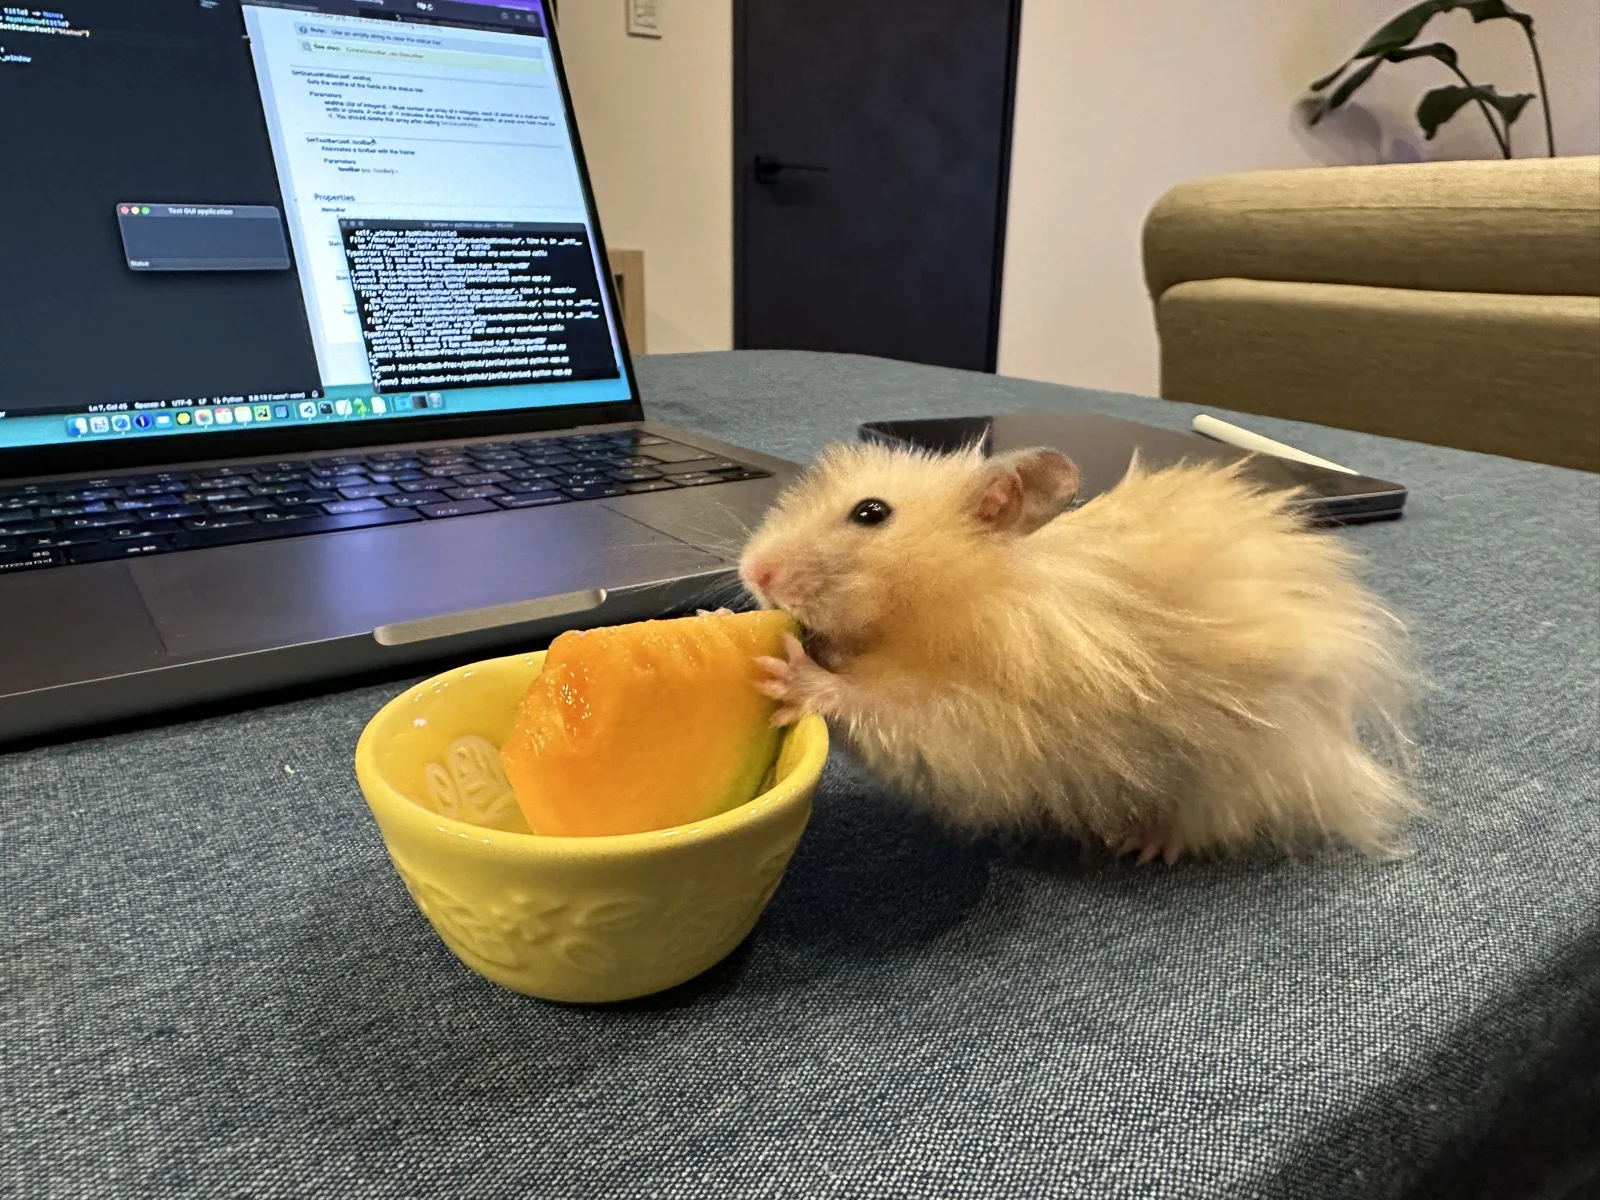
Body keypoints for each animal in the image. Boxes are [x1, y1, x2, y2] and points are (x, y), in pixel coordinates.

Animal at [737, 441, 1420, 861]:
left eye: (871, 512)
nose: (753, 572)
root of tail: (1345, 754)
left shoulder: (987, 725)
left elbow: (891, 712)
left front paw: (792, 673)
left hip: (1240, 769)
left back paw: (1145, 846)